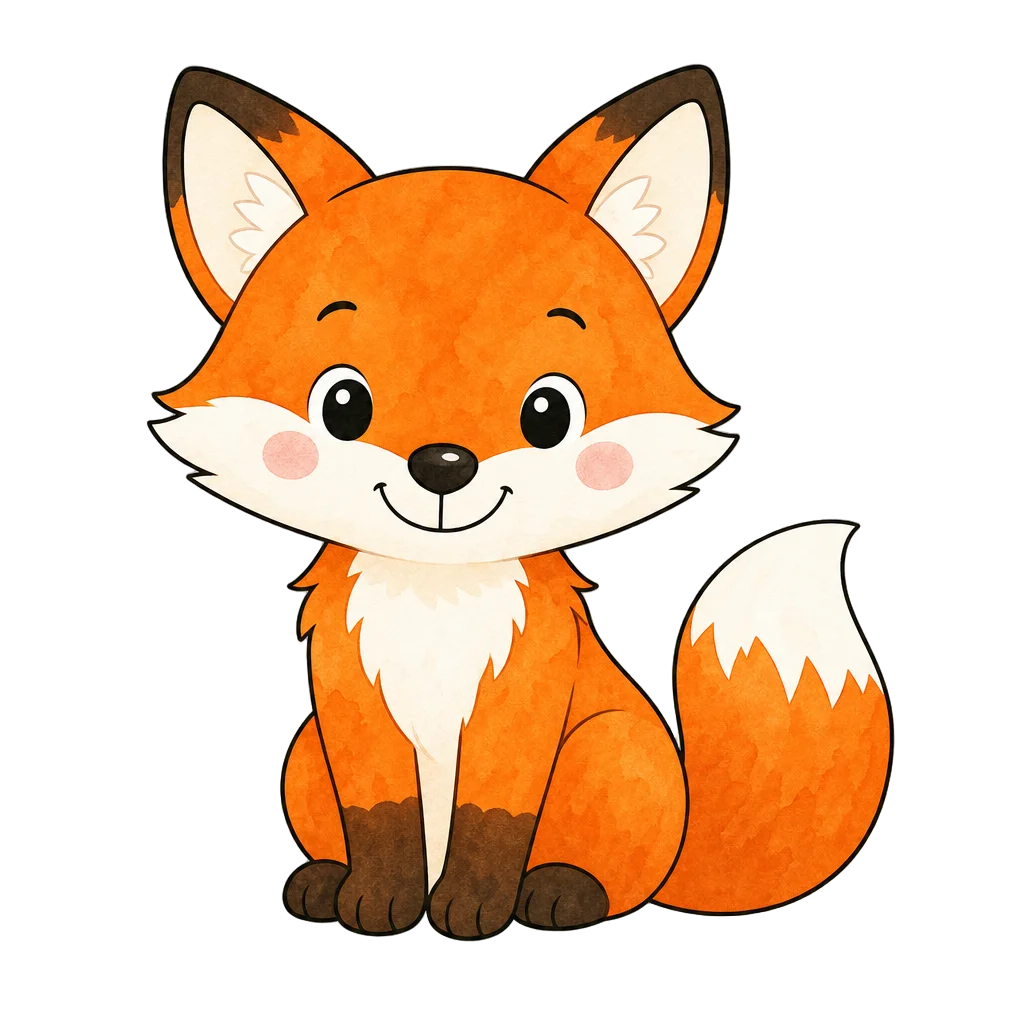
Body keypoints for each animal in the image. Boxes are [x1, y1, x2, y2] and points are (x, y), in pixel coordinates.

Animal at [151, 65, 894, 938]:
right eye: (342, 404)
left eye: (549, 412)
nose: (442, 465)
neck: (436, 600)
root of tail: (684, 839)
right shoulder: (352, 707)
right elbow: (381, 820)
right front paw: (378, 900)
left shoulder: (521, 703)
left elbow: (493, 821)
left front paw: (471, 907)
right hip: (305, 756)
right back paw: (324, 882)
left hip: (610, 752)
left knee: (613, 877)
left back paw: (560, 892)